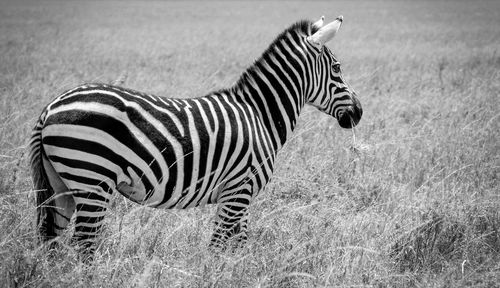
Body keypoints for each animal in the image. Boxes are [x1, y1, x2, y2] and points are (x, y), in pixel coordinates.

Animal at [28, 15, 364, 254]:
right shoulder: (238, 190)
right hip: (92, 180)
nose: (359, 112)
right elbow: (217, 248)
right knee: (84, 246)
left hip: (62, 185)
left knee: (52, 243)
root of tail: (51, 106)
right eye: (337, 68)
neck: (260, 115)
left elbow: (237, 248)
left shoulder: (240, 195)